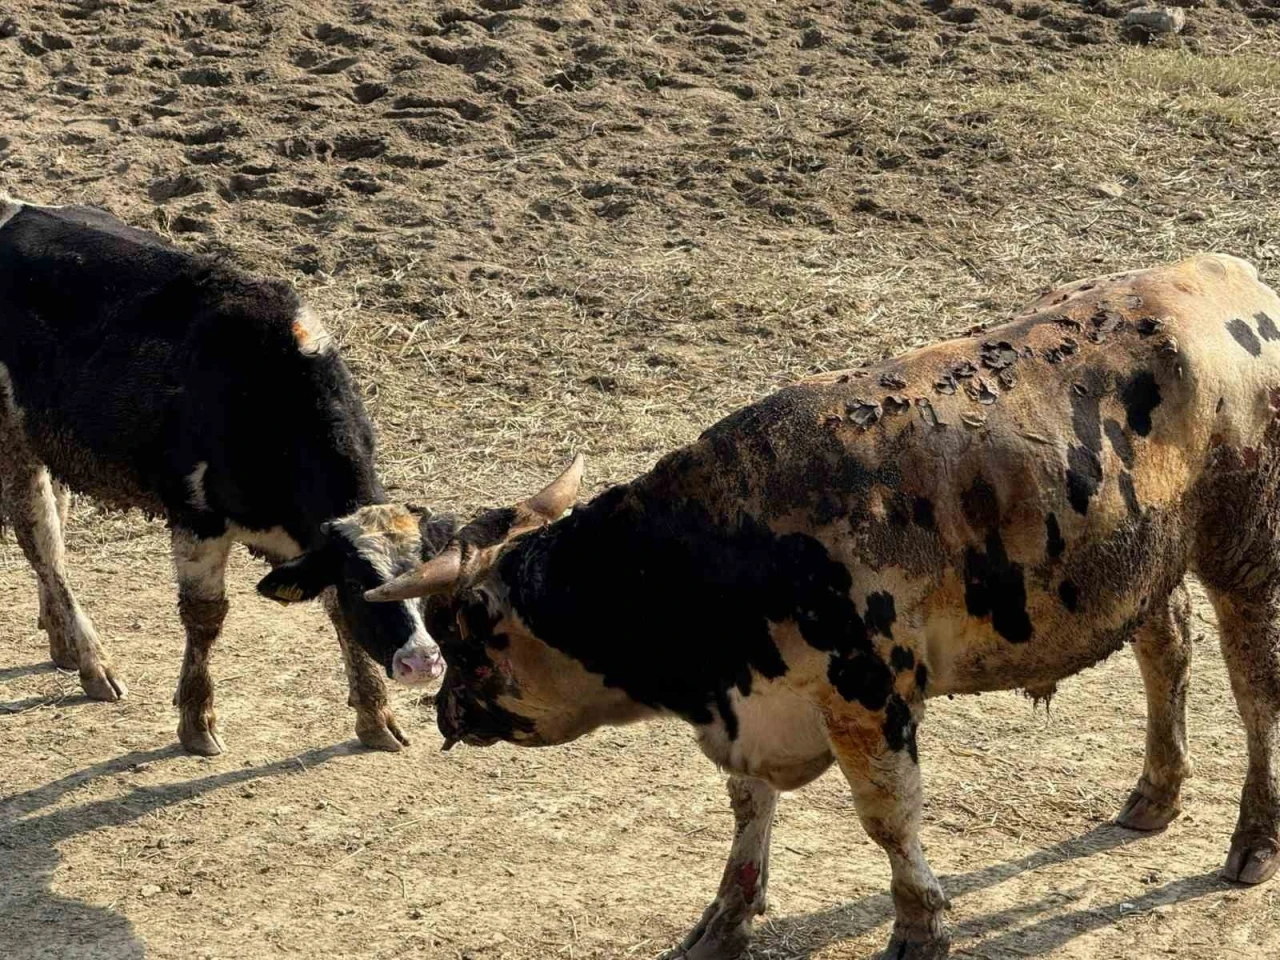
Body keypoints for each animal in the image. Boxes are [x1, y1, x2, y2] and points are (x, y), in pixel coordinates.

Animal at [0, 197, 450, 757]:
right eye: (359, 581)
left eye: (427, 575)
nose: (422, 662)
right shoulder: (198, 519)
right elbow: (205, 616)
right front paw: (197, 719)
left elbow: (332, 613)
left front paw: (374, 715)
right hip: (13, 443)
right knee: (43, 546)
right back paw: (92, 662)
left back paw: (61, 643)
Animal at [371, 257, 1280, 960]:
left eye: (460, 630)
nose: (443, 708)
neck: (717, 543)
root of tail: (1229, 277)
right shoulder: (747, 703)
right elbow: (749, 809)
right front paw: (725, 920)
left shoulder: (868, 700)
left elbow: (888, 820)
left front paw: (919, 927)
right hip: (1145, 564)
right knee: (1167, 650)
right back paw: (1155, 794)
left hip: (1245, 553)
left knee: (1254, 694)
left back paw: (1253, 838)